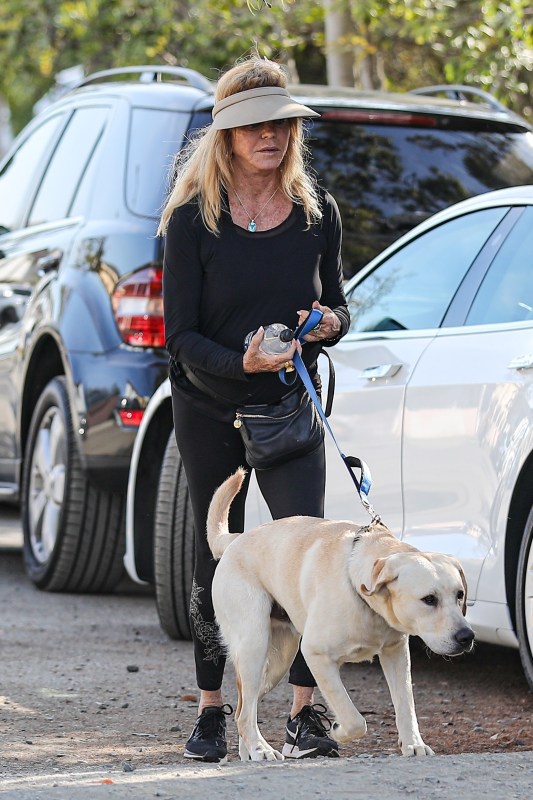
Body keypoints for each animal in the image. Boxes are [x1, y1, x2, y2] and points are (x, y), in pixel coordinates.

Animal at [208, 468, 474, 764]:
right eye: (429, 599)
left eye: (459, 595)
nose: (467, 636)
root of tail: (235, 539)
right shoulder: (316, 655)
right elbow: (355, 718)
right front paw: (338, 731)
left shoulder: (396, 653)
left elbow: (406, 706)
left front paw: (413, 744)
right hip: (255, 646)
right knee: (244, 714)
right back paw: (260, 748)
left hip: (275, 663)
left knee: (245, 706)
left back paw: (250, 751)